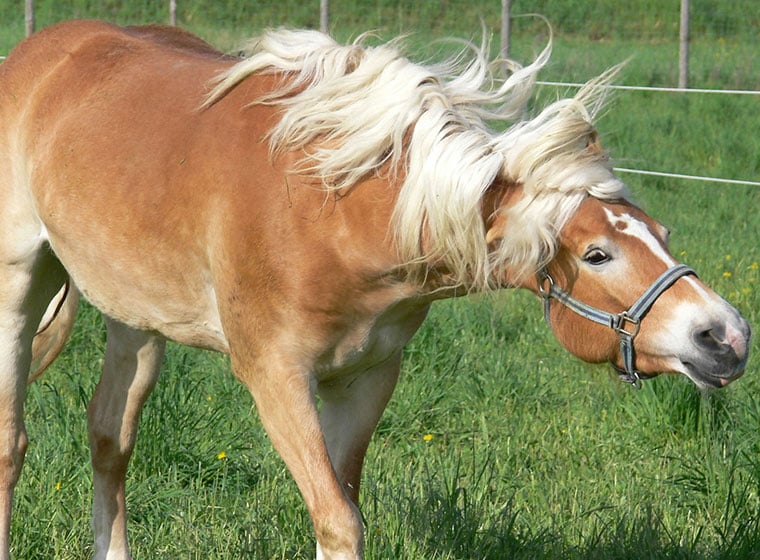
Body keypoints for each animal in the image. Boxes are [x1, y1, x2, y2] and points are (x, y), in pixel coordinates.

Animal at [0, 19, 748, 556]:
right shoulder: (275, 377)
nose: (726, 336)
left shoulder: (366, 377)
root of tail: (39, 53)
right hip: (19, 288)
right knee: (12, 442)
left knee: (109, 437)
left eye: (663, 232)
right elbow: (336, 521)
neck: (334, 209)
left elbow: (345, 508)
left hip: (135, 317)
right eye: (597, 254)